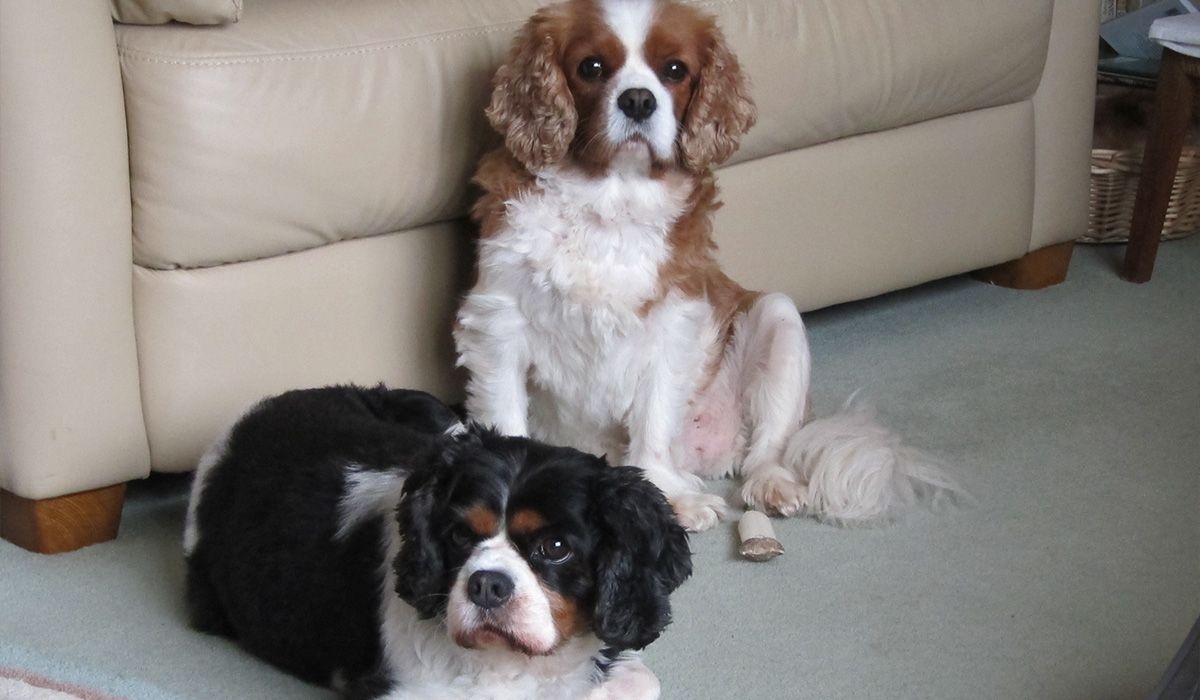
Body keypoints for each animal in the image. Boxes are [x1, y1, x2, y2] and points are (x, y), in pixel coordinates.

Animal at [453, 0, 960, 528]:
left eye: (675, 70)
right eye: (591, 67)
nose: (638, 100)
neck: (609, 199)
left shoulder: (672, 325)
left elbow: (654, 424)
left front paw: (667, 494)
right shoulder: (499, 321)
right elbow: (506, 415)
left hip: (779, 317)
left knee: (766, 449)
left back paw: (769, 483)